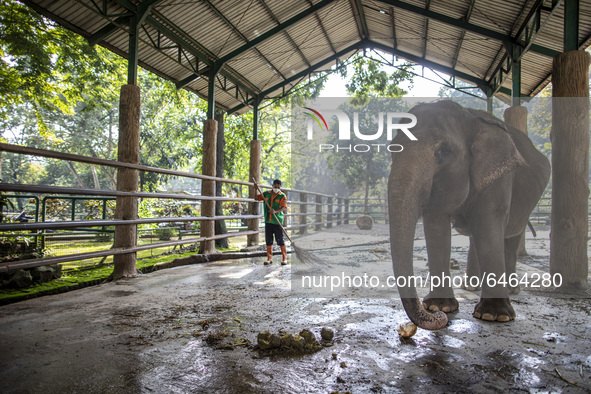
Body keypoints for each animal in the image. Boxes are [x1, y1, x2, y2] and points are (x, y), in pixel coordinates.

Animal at [388, 100, 552, 330]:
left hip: (526, 204)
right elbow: (436, 227)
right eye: (392, 150)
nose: (437, 316)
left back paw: (511, 289)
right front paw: (440, 306)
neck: (467, 116)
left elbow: (489, 222)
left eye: (443, 151)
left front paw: (494, 316)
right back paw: (472, 286)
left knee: (510, 235)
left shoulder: (498, 175)